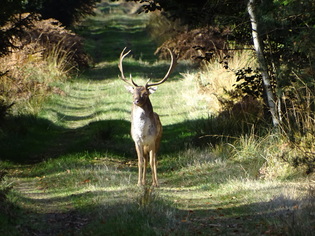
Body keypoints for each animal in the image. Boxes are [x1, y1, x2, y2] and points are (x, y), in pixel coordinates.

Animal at [119, 47, 178, 186]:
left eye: (145, 94)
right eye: (133, 93)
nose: (136, 100)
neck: (143, 134)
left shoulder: (152, 141)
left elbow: (152, 162)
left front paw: (155, 183)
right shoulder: (137, 141)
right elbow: (140, 162)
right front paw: (139, 183)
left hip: (158, 140)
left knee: (154, 160)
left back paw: (153, 181)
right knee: (145, 161)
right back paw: (144, 181)